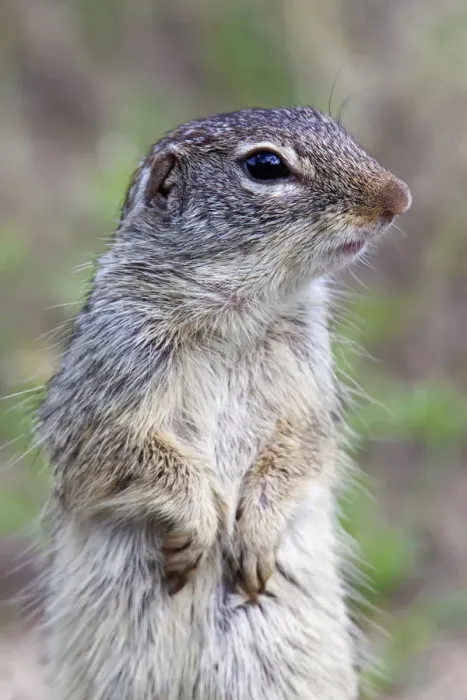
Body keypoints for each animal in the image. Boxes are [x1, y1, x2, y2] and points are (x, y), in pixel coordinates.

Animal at [36, 107, 411, 700]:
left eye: (335, 127)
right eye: (265, 165)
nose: (399, 197)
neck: (235, 318)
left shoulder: (311, 395)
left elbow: (306, 450)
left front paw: (255, 535)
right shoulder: (106, 381)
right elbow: (120, 454)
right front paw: (200, 522)